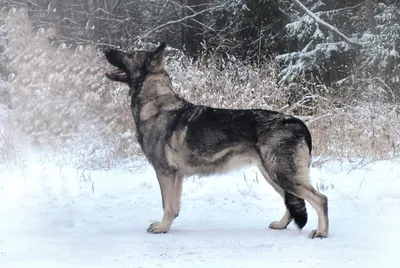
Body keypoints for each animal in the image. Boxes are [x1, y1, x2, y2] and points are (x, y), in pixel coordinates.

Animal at [102, 42, 328, 239]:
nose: (104, 49)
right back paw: (281, 225)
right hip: (273, 175)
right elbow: (174, 207)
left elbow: (167, 205)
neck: (156, 104)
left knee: (320, 199)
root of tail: (298, 123)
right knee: (292, 202)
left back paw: (321, 232)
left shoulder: (165, 173)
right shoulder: (177, 176)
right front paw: (168, 225)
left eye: (130, 54)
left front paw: (162, 228)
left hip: (281, 175)